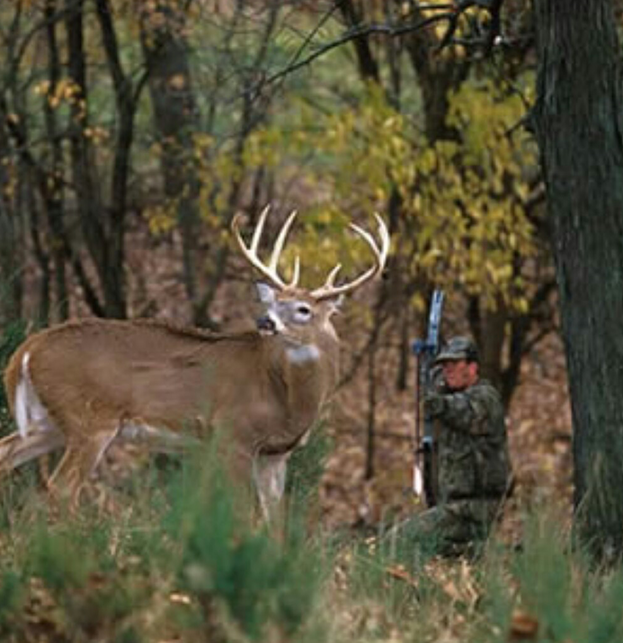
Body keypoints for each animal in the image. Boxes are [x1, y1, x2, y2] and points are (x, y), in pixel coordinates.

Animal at [1, 206, 389, 519]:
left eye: (303, 309)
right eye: (273, 303)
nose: (265, 322)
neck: (287, 399)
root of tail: (27, 349)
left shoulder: (275, 456)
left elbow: (274, 525)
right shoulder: (233, 436)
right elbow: (245, 517)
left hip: (51, 420)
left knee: (8, 453)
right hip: (90, 419)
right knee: (62, 489)